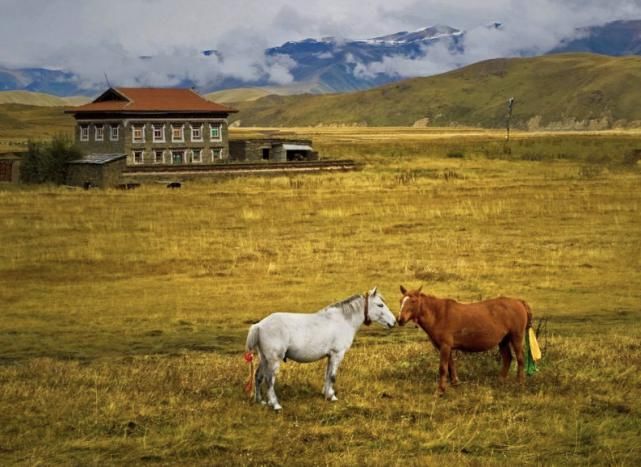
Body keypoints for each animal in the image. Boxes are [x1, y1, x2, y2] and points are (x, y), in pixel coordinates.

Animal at [245, 288, 396, 412]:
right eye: (380, 305)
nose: (394, 322)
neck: (343, 320)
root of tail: (259, 325)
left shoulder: (330, 356)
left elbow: (327, 375)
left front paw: (326, 393)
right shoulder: (337, 354)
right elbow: (333, 376)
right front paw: (332, 396)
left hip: (264, 358)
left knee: (258, 377)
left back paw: (260, 401)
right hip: (273, 360)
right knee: (269, 380)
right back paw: (275, 405)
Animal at [398, 288, 532, 394]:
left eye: (413, 301)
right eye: (401, 301)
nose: (400, 319)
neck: (438, 314)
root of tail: (519, 302)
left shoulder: (445, 346)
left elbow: (443, 368)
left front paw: (440, 390)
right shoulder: (447, 347)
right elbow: (451, 366)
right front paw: (455, 383)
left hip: (516, 337)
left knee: (520, 358)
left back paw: (520, 382)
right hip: (503, 340)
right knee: (507, 358)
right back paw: (500, 380)